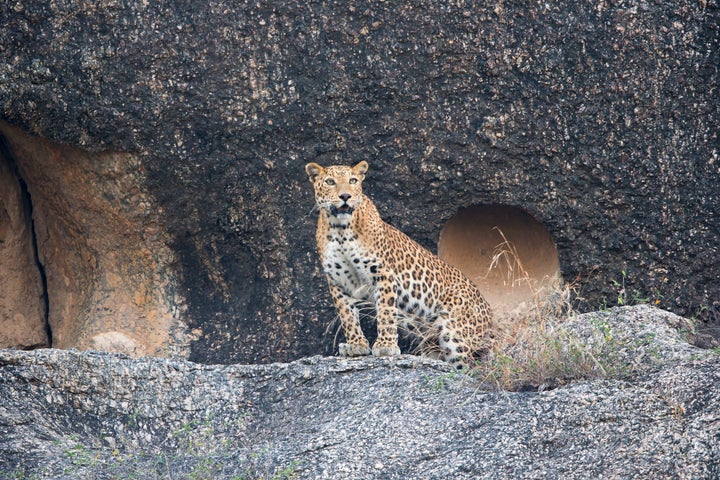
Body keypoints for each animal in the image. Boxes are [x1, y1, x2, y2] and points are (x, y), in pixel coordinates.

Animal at [306, 159, 492, 366]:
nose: (346, 196)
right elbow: (347, 315)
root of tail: (487, 308)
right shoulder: (337, 281)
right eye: (330, 182)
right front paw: (356, 345)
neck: (340, 230)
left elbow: (386, 312)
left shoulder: (383, 273)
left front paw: (386, 346)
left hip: (455, 333)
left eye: (353, 180)